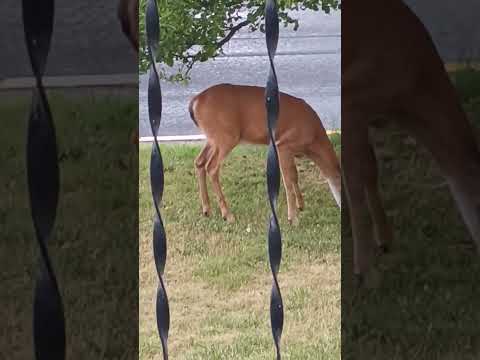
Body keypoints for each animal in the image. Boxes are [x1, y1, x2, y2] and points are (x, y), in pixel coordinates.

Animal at [188, 84, 342, 224]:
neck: (313, 140)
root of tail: (196, 101)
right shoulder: (284, 144)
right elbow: (288, 179)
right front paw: (293, 218)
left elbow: (294, 176)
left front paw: (301, 205)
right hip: (226, 136)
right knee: (211, 167)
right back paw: (227, 215)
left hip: (213, 139)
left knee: (199, 161)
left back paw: (207, 210)